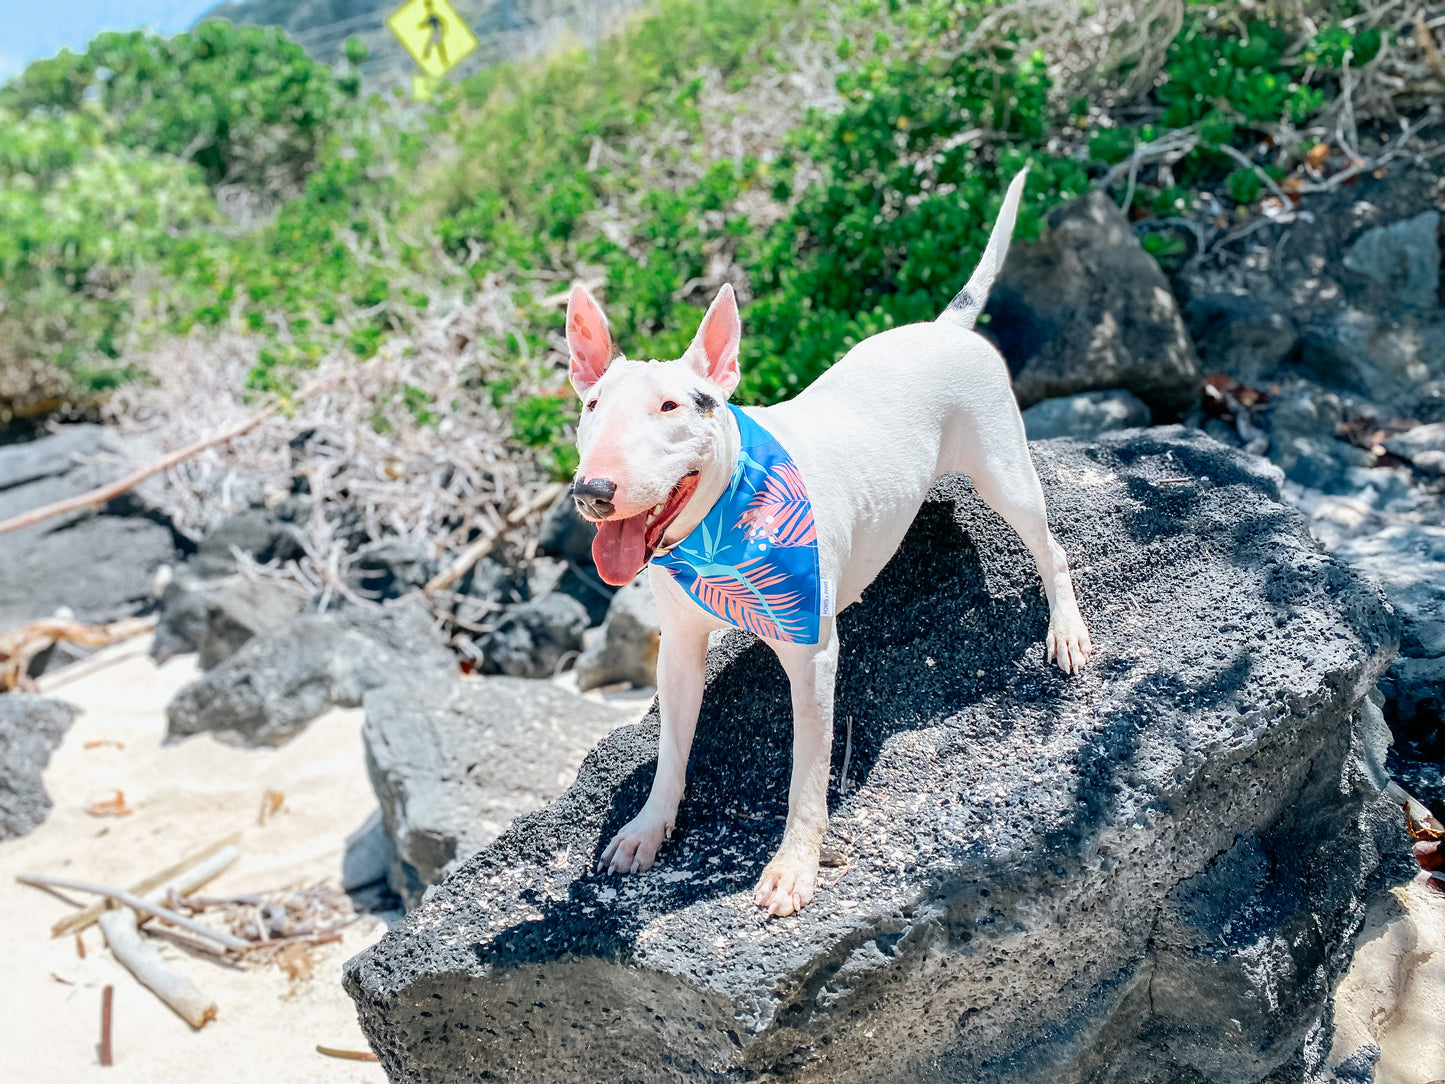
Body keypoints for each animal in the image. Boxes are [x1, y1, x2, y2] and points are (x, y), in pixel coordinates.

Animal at [569, 169, 1086, 919]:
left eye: (669, 406)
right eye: (591, 407)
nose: (593, 489)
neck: (715, 528)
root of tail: (944, 328)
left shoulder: (810, 654)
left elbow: (805, 775)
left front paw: (793, 868)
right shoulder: (679, 647)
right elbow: (671, 746)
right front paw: (646, 828)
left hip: (1004, 468)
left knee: (1049, 547)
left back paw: (1066, 629)